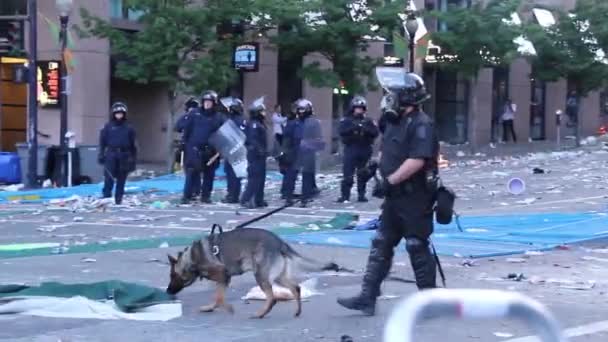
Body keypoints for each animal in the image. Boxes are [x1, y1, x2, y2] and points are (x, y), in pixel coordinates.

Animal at [165, 228, 342, 320]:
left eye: (172, 276)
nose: (167, 291)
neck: (192, 258)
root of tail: (280, 242)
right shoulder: (223, 280)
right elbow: (217, 297)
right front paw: (210, 308)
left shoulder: (223, 275)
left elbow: (219, 297)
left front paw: (228, 308)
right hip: (278, 277)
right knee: (295, 288)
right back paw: (297, 312)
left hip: (261, 276)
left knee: (272, 298)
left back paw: (260, 314)